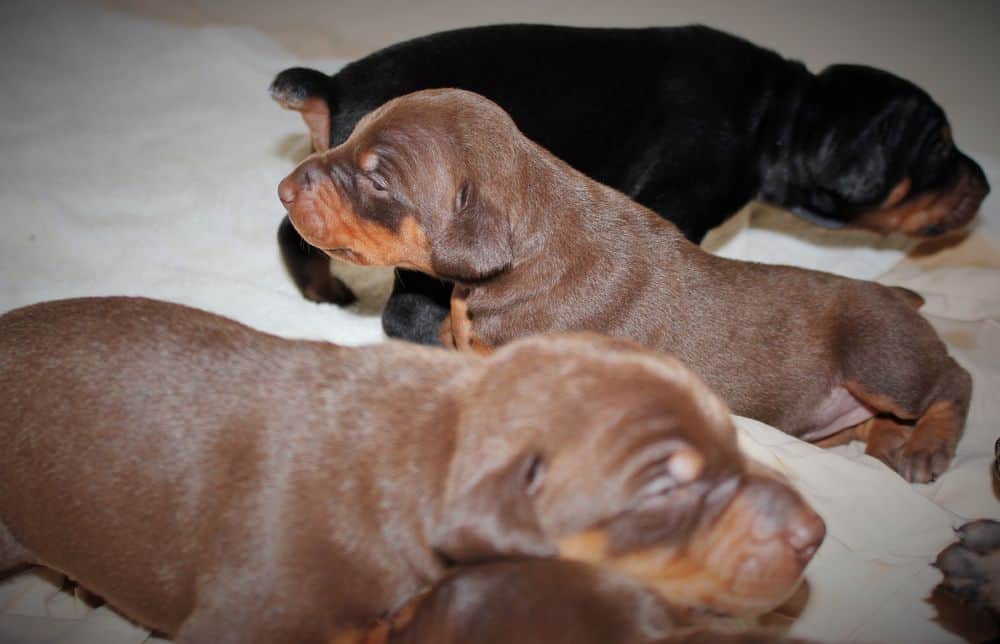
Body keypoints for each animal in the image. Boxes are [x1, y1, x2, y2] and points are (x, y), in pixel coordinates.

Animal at [270, 23, 988, 348]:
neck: (774, 116)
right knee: (404, 311)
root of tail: (332, 83)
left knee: (293, 229)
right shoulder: (680, 197)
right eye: (941, 146)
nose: (984, 184)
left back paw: (324, 294)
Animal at [282, 89, 976, 484]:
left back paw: (927, 446)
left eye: (376, 179)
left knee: (953, 382)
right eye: (348, 137)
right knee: (876, 422)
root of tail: (903, 298)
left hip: (878, 353)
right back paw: (893, 443)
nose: (285, 188)